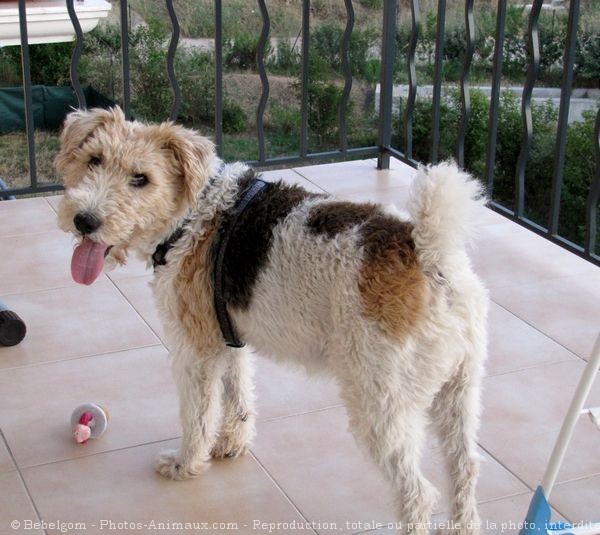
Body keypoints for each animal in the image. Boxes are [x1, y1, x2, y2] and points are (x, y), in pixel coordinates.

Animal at [56, 107, 488, 532]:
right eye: (94, 160)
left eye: (141, 178)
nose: (84, 220)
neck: (193, 214)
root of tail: (431, 254)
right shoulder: (228, 333)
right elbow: (238, 393)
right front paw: (232, 442)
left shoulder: (195, 348)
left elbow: (197, 416)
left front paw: (185, 464)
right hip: (459, 390)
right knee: (465, 468)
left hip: (380, 402)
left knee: (419, 495)